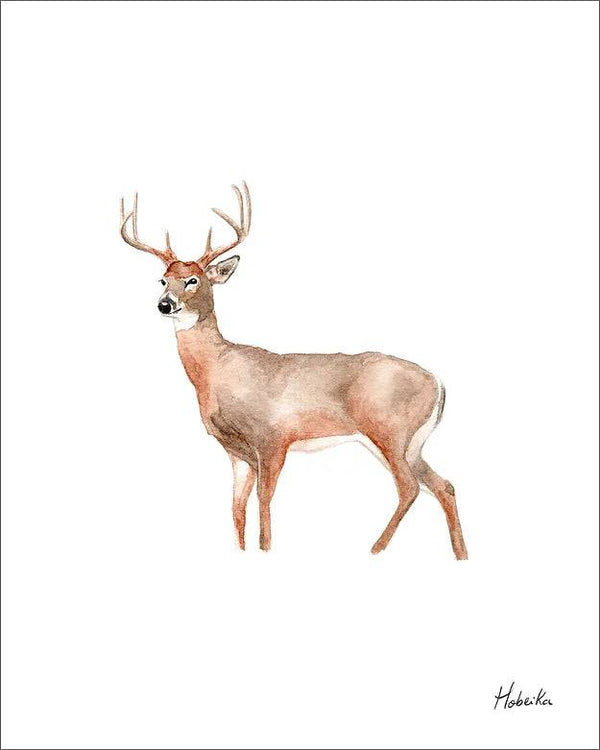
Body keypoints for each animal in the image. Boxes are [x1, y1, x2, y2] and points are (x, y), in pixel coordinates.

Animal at [119, 182, 468, 559]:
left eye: (193, 280)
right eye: (163, 279)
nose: (164, 305)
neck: (218, 371)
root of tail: (438, 383)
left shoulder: (273, 437)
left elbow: (263, 501)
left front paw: (265, 549)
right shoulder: (236, 452)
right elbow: (236, 508)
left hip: (389, 431)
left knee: (410, 487)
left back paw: (374, 549)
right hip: (408, 443)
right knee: (443, 485)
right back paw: (459, 552)